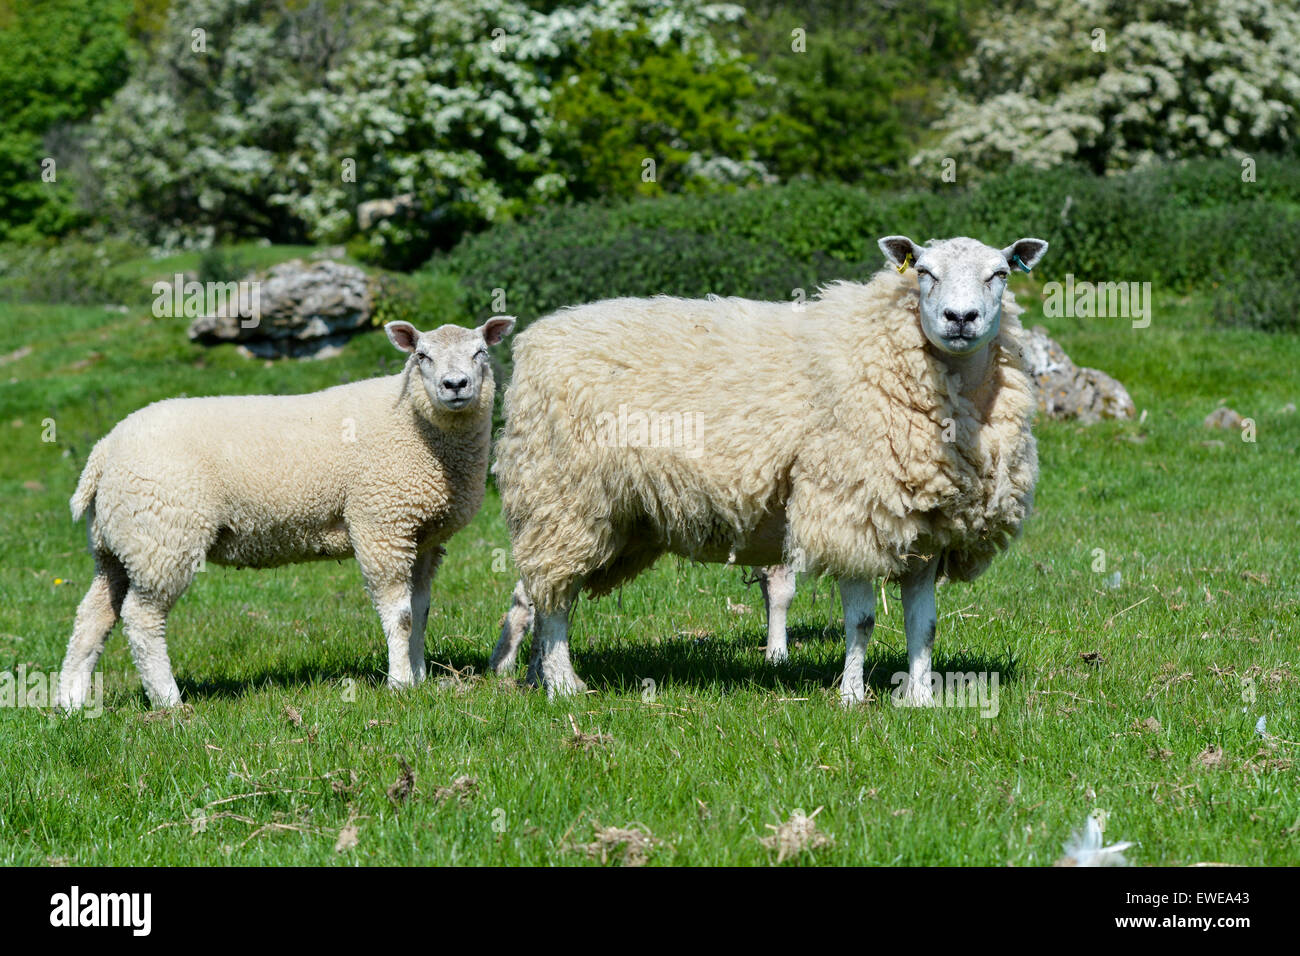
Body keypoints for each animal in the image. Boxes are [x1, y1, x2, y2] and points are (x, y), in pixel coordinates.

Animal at [55, 316, 512, 712]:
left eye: (481, 352)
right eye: (422, 356)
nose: (456, 385)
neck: (415, 427)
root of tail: (105, 449)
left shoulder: (424, 535)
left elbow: (421, 610)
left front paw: (419, 677)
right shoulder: (381, 524)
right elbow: (400, 615)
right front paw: (400, 684)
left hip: (118, 544)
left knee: (92, 617)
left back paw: (71, 702)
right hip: (163, 536)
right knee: (142, 619)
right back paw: (169, 701)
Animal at [491, 238, 1040, 702]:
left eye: (1000, 273)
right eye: (924, 271)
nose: (960, 317)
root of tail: (534, 340)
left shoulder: (928, 532)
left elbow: (923, 626)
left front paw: (921, 698)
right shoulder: (848, 510)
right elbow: (861, 621)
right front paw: (851, 696)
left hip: (607, 515)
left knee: (543, 592)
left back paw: (539, 676)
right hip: (565, 497)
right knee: (554, 601)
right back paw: (564, 685)